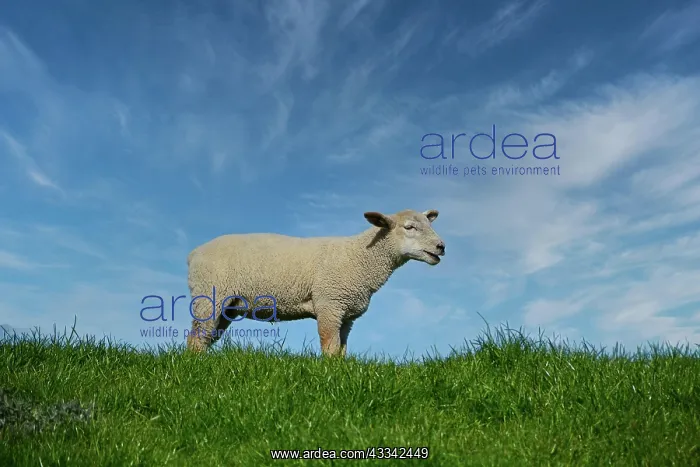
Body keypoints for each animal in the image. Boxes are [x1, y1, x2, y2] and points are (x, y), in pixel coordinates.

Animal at [185, 208, 446, 357]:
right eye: (409, 227)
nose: (441, 247)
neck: (360, 257)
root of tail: (194, 253)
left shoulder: (346, 314)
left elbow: (341, 350)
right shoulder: (329, 304)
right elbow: (329, 347)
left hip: (227, 306)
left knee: (206, 337)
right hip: (210, 296)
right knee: (196, 338)